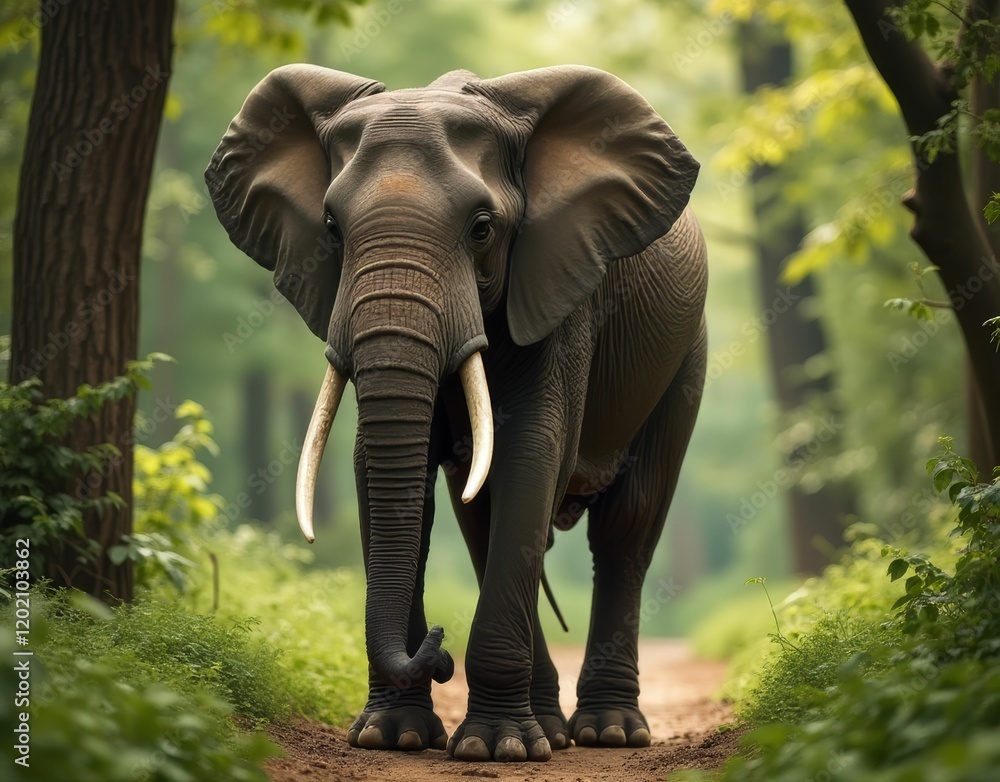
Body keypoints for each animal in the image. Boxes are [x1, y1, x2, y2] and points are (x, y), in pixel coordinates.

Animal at [206, 63, 707, 764]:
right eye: (331, 228)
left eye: (482, 228)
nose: (438, 653)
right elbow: (383, 469)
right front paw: (392, 737)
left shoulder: (559, 287)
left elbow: (531, 452)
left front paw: (494, 747)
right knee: (482, 521)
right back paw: (551, 728)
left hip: (686, 356)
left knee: (625, 529)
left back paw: (606, 732)